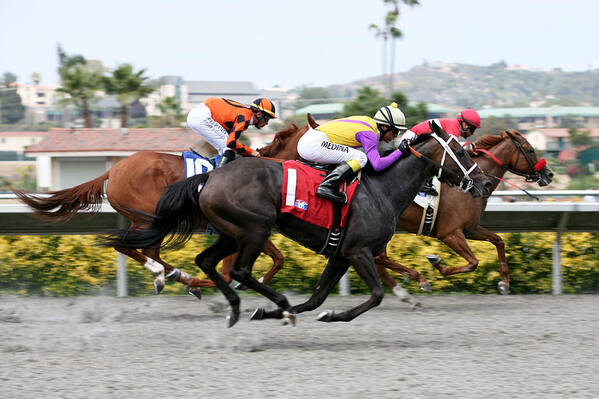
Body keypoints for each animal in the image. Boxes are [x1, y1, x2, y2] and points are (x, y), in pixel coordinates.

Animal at [99, 123, 492, 326]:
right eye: (463, 151)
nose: (484, 183)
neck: (384, 188)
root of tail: (209, 177)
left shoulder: (341, 254)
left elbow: (317, 298)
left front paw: (274, 312)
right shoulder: (359, 250)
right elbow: (375, 295)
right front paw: (326, 314)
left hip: (230, 232)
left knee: (207, 261)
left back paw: (236, 308)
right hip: (254, 229)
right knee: (239, 270)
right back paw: (266, 301)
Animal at [258, 126, 552, 296]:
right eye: (529, 149)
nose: (548, 174)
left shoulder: (470, 228)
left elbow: (499, 241)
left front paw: (504, 282)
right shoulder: (450, 233)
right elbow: (473, 262)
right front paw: (436, 264)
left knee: (378, 258)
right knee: (379, 257)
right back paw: (411, 283)